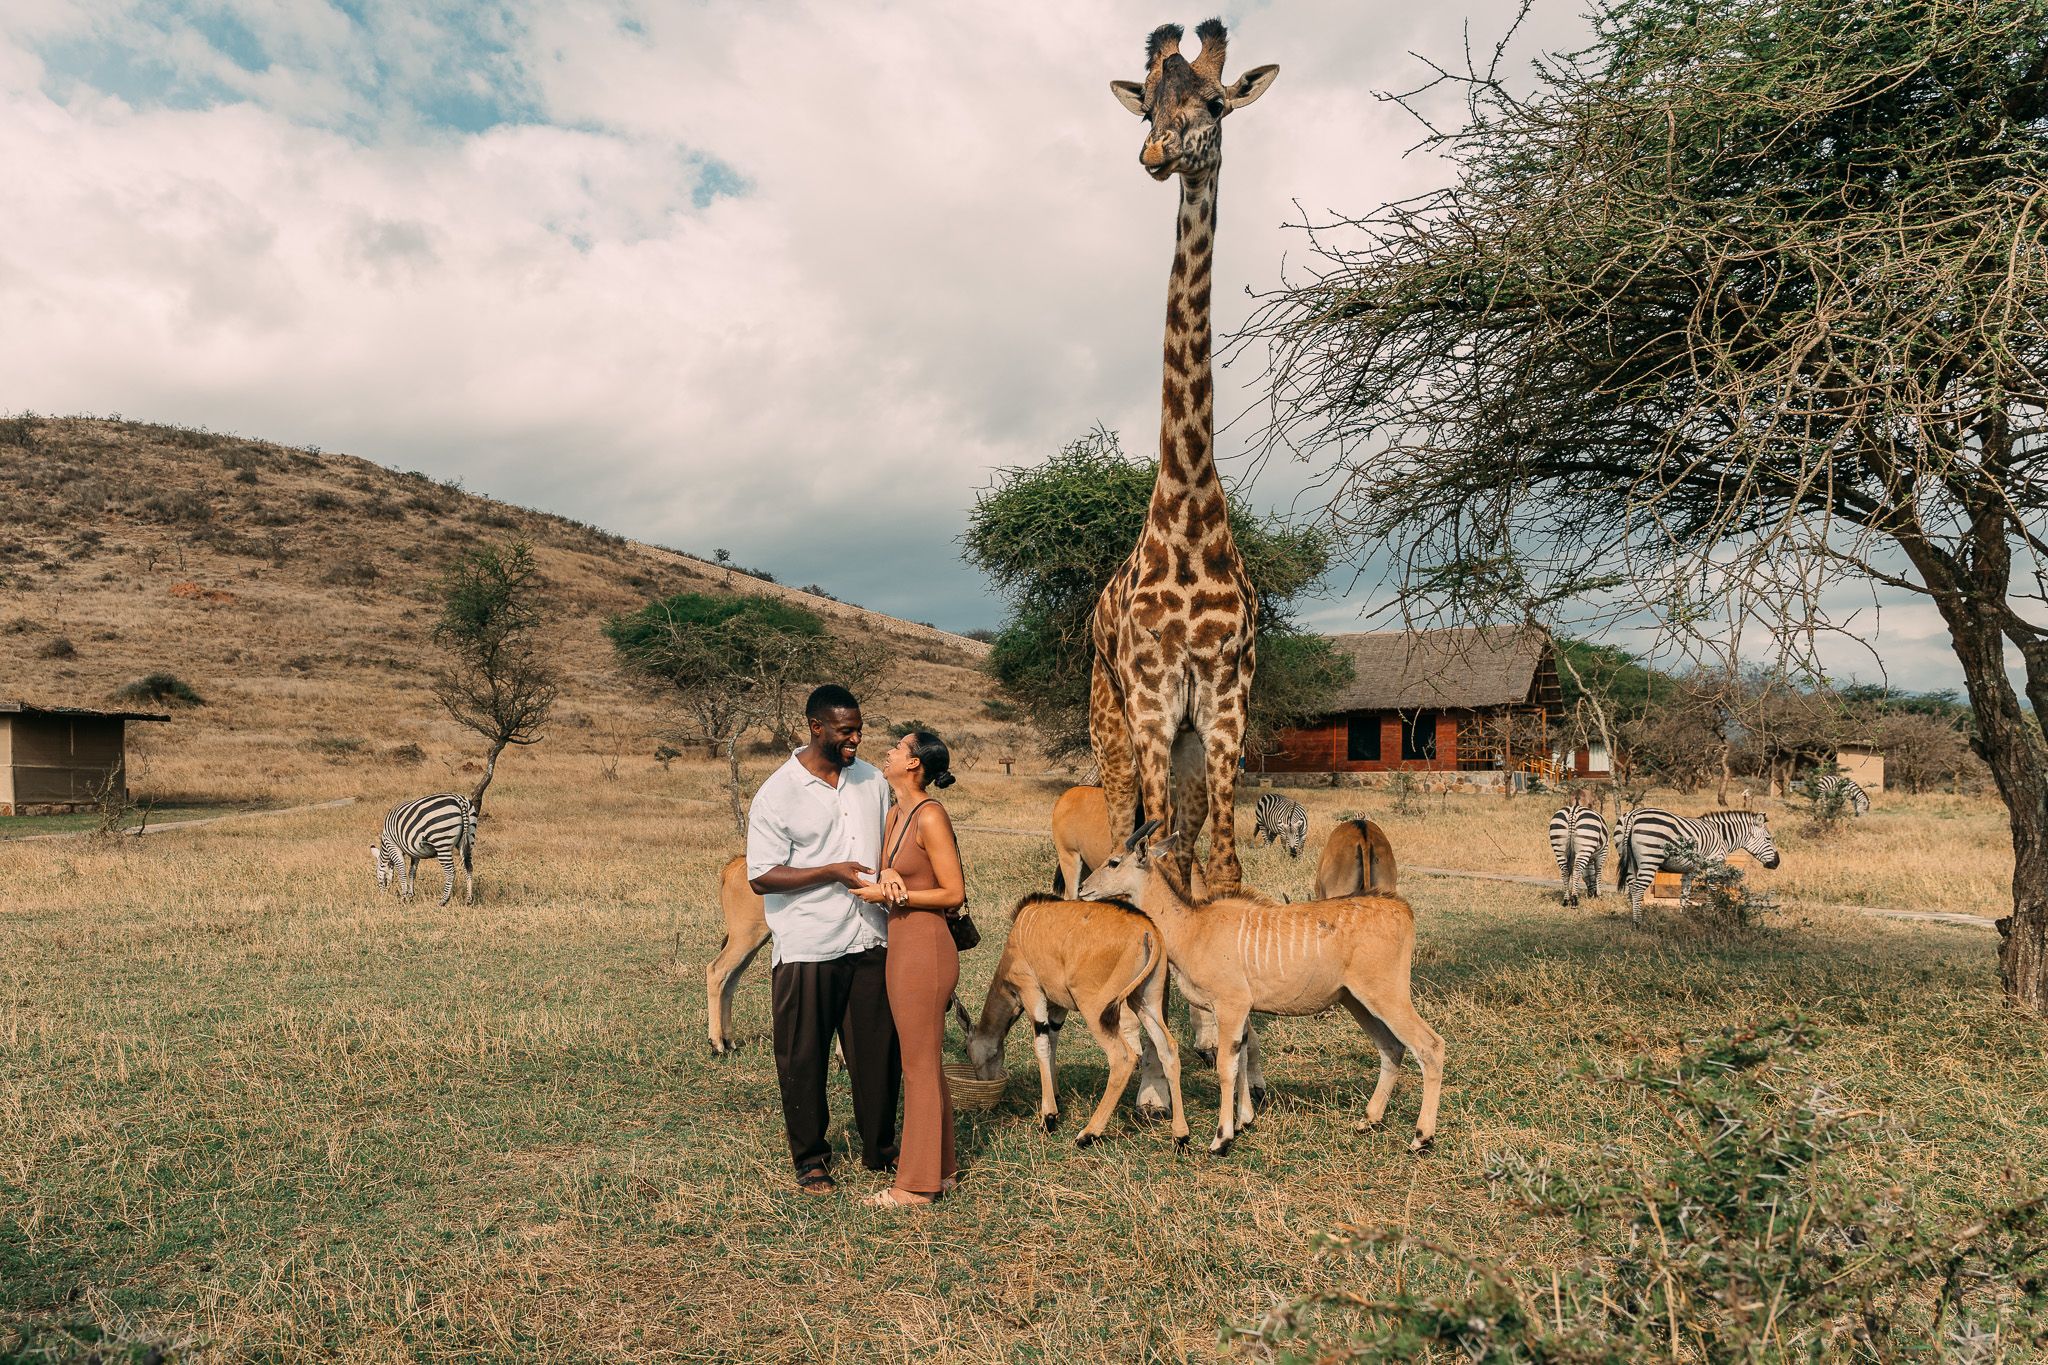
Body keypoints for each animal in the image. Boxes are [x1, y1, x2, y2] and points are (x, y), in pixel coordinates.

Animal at [1615, 807, 1780, 923]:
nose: (1777, 863)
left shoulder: (1689, 870)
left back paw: (1632, 916)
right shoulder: (1714, 863)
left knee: (1631, 888)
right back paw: (1638, 922)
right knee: (1637, 889)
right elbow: (1712, 890)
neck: (1722, 836)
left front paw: (1683, 916)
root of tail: (1633, 814)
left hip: (1629, 860)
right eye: (1768, 838)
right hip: (1650, 858)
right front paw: (1712, 916)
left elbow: (1685, 893)